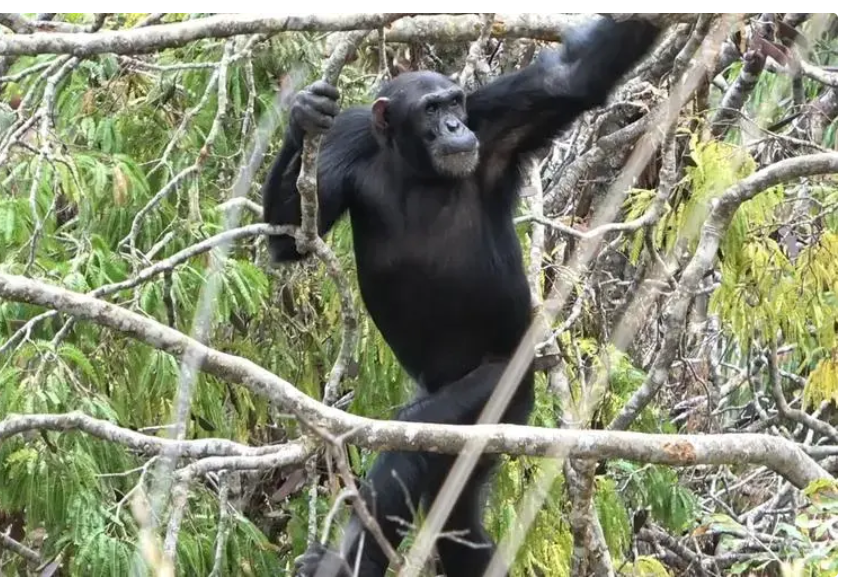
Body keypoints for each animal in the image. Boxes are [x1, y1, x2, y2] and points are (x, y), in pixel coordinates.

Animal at [262, 16, 660, 576]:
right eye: (431, 109)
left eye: (454, 102)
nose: (454, 126)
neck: (413, 164)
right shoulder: (350, 135)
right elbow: (292, 239)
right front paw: (303, 113)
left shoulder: (494, 121)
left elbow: (570, 78)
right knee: (456, 514)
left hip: (506, 392)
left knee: (414, 438)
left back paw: (344, 562)